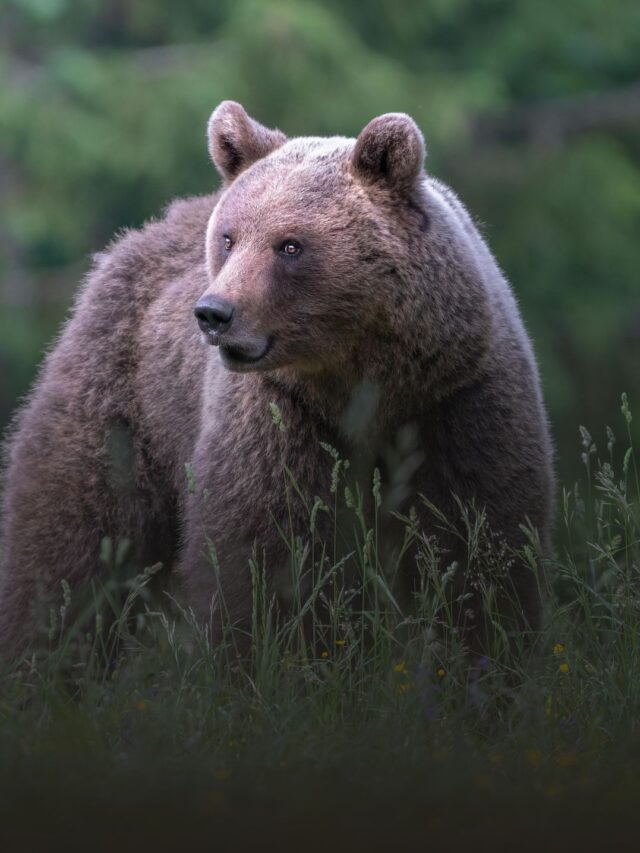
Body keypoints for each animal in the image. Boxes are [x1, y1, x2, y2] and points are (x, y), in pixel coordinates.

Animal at [0, 100, 552, 652]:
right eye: (229, 238)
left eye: (290, 245)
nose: (214, 313)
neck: (364, 380)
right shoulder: (279, 417)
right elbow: (262, 556)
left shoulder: (459, 398)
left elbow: (483, 542)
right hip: (120, 400)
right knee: (72, 537)